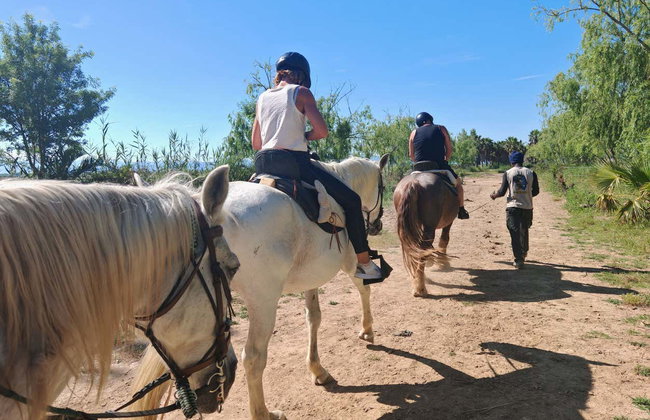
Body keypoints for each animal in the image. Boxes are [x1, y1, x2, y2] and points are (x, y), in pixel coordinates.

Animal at [132, 154, 389, 420]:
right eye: (382, 187)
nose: (377, 225)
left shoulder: (311, 278)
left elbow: (313, 318)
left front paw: (317, 370)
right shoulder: (351, 262)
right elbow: (364, 287)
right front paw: (367, 330)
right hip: (263, 301)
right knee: (254, 358)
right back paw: (263, 412)